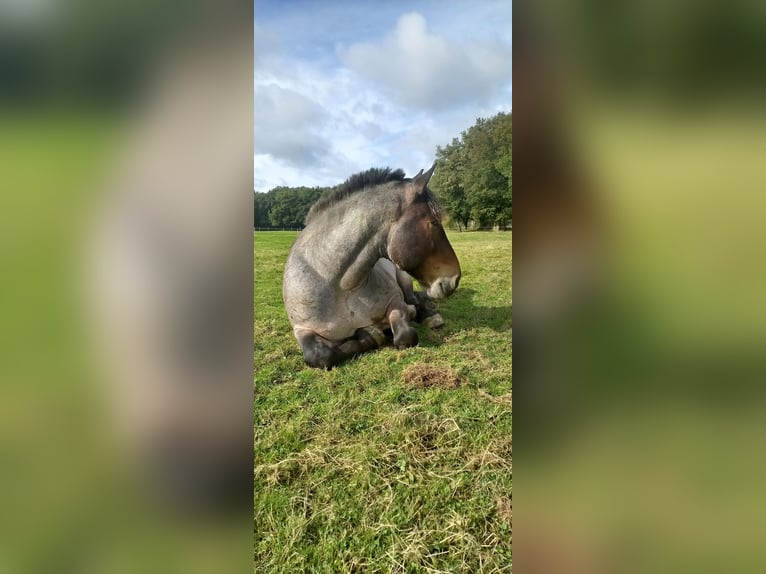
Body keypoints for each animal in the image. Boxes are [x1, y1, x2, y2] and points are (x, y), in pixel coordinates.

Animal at [282, 163, 462, 368]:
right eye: (433, 222)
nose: (455, 278)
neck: (339, 286)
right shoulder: (302, 329)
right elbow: (319, 355)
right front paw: (370, 333)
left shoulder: (395, 301)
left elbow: (405, 335)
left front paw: (377, 331)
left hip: (404, 280)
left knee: (415, 298)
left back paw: (430, 316)